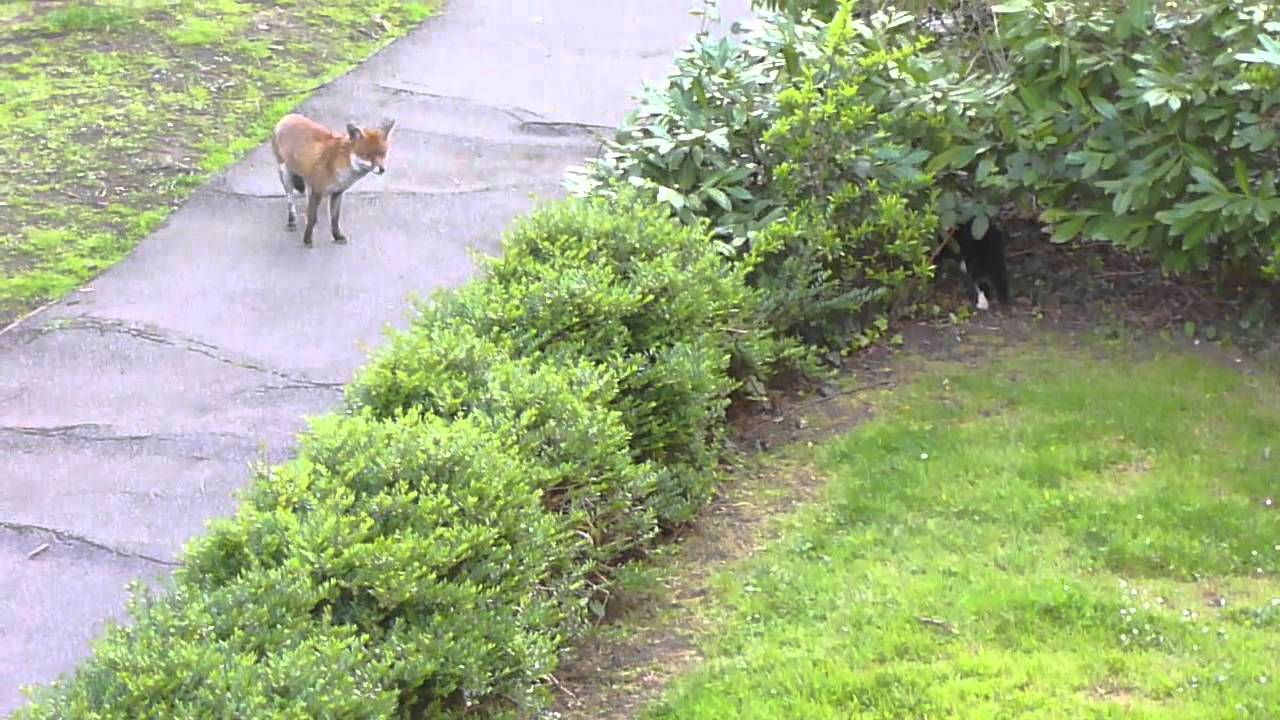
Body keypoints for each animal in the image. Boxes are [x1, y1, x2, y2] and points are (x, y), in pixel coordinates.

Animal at [270, 113, 397, 247]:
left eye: (383, 153)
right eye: (367, 156)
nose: (382, 169)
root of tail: (286, 117)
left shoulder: (337, 193)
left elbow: (335, 219)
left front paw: (337, 236)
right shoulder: (317, 191)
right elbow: (311, 218)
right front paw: (307, 240)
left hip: (308, 182)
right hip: (285, 176)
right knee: (290, 201)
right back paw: (292, 221)